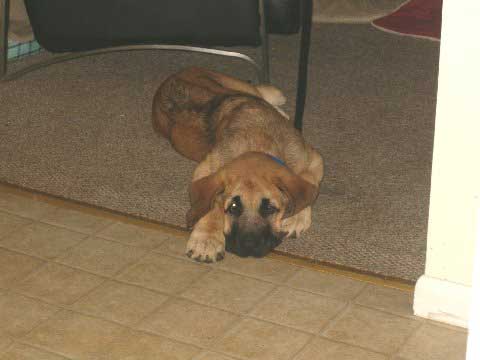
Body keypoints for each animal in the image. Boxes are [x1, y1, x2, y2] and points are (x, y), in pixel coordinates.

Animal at [151, 67, 322, 262]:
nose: (249, 245)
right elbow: (210, 203)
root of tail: (176, 74)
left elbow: (308, 180)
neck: (259, 142)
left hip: (239, 87)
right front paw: (207, 238)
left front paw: (296, 218)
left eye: (269, 208)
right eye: (233, 207)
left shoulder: (312, 158)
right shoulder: (206, 168)